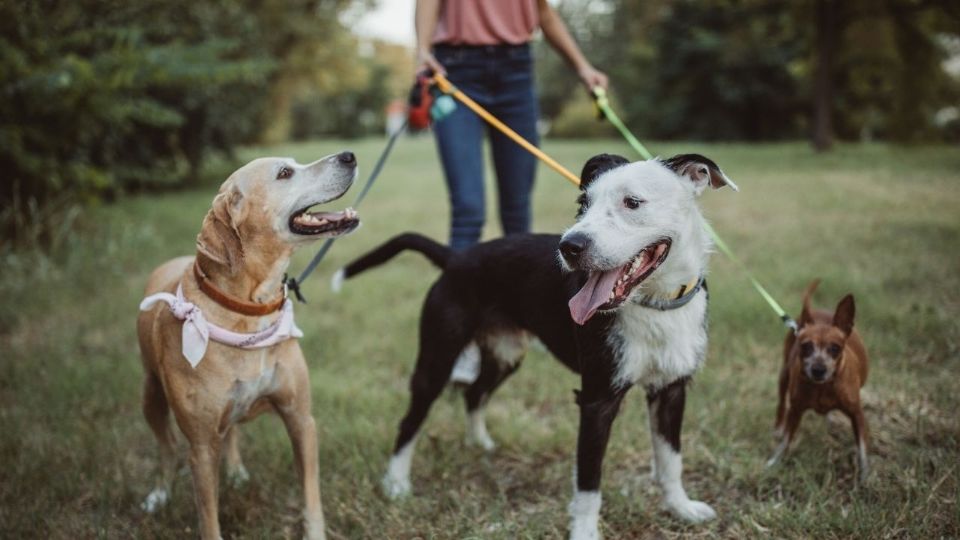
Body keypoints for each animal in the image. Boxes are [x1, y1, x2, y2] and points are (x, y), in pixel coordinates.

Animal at [137, 152, 358, 540]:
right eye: (284, 173)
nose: (349, 155)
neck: (250, 311)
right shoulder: (201, 448)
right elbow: (208, 517)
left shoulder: (300, 418)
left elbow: (311, 496)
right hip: (150, 395)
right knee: (166, 448)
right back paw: (160, 494)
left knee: (231, 432)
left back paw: (236, 471)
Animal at [336, 154, 736, 536]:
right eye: (583, 202)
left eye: (633, 202)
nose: (570, 247)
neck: (655, 304)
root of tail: (456, 257)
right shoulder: (597, 400)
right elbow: (589, 483)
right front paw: (585, 532)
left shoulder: (671, 390)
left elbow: (671, 461)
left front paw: (681, 509)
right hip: (437, 359)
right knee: (411, 422)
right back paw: (396, 484)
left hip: (505, 355)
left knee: (475, 393)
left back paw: (479, 444)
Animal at [764, 278, 872, 480]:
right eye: (805, 346)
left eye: (835, 348)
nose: (818, 370)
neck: (823, 388)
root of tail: (815, 311)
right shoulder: (796, 411)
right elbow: (785, 441)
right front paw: (774, 462)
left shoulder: (857, 414)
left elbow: (862, 448)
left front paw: (865, 475)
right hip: (783, 376)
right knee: (782, 404)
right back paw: (779, 428)